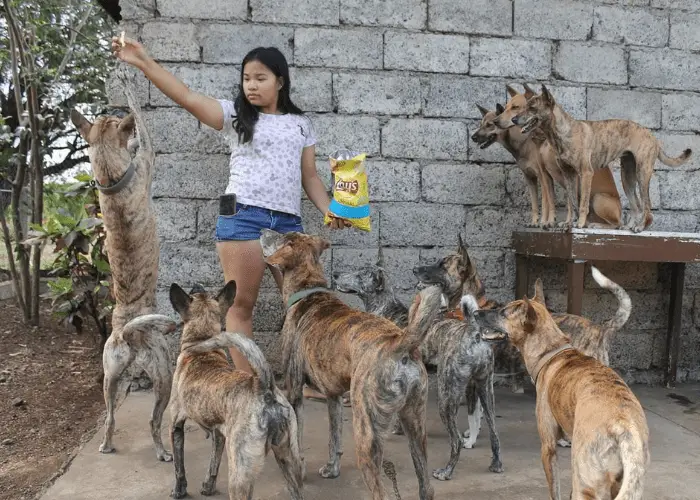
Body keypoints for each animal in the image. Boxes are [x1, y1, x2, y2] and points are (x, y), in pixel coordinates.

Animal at [70, 68, 178, 462]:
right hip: (163, 375)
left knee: (111, 419)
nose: (108, 110)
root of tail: (127, 334)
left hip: (110, 378)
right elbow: (142, 123)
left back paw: (106, 444)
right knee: (153, 421)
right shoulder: (147, 152)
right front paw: (129, 77)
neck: (108, 177)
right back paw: (162, 451)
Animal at [169, 282, 304, 500]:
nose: (197, 284)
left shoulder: (175, 424)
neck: (203, 345)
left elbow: (179, 467)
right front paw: (208, 487)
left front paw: (179, 491)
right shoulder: (219, 434)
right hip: (289, 459)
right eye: (200, 292)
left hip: (240, 473)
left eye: (194, 292)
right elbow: (213, 464)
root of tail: (264, 386)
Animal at [260, 229, 440, 500]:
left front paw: (299, 470)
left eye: (280, 237)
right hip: (415, 423)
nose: (262, 231)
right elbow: (334, 438)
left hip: (366, 429)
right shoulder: (333, 396)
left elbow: (297, 439)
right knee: (426, 487)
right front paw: (332, 469)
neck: (308, 291)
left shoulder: (294, 391)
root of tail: (400, 343)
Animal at [474, 292, 648, 500]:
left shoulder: (548, 447)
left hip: (584, 480)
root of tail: (623, 428)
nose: (475, 313)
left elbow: (554, 489)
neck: (551, 351)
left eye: (503, 312)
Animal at [500, 84, 692, 232]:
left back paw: (638, 227)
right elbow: (572, 202)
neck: (563, 132)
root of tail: (653, 137)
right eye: (524, 106)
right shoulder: (568, 175)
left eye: (532, 108)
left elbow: (582, 203)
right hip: (627, 178)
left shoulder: (586, 174)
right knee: (636, 206)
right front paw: (569, 223)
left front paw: (580, 224)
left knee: (646, 206)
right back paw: (628, 226)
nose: (515, 120)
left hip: (640, 176)